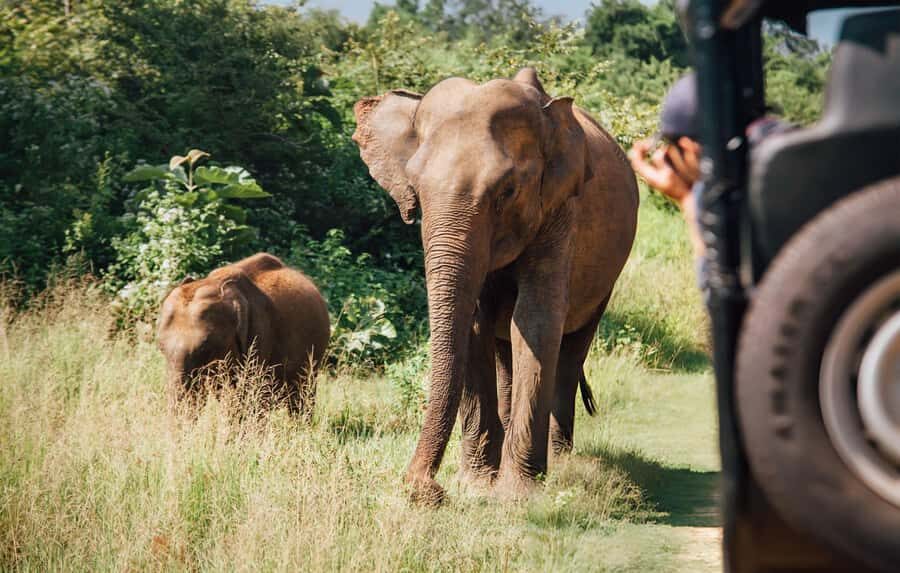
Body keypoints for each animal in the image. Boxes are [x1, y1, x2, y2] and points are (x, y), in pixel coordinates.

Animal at [353, 68, 638, 503]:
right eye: (415, 191)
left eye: (507, 191)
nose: (424, 489)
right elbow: (474, 324)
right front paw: (477, 486)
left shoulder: (560, 210)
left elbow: (536, 321)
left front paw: (518, 495)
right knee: (506, 348)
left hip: (607, 276)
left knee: (571, 348)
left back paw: (561, 461)